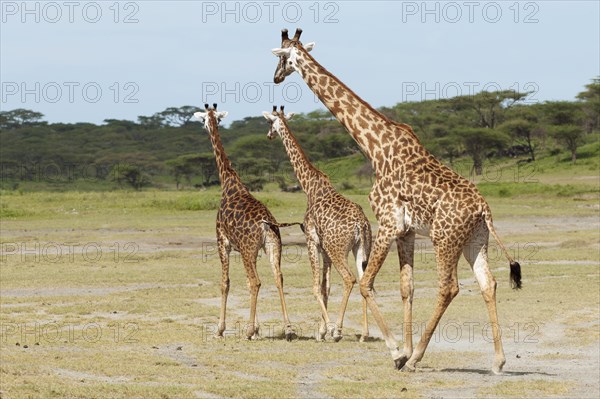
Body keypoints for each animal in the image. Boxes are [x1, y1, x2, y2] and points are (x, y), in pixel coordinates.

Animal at [192, 104, 296, 342]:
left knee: (257, 281)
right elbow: (247, 283)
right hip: (272, 246)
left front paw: (221, 329)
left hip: (250, 249)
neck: (228, 181)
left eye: (203, 120)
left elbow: (225, 283)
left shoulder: (223, 242)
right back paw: (288, 329)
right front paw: (257, 329)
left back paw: (247, 332)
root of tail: (266, 222)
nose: (204, 126)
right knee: (277, 277)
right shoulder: (245, 249)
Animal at [262, 106, 370, 344]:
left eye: (269, 123)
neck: (309, 186)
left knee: (349, 279)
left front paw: (327, 330)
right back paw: (364, 334)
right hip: (361, 248)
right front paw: (322, 331)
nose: (269, 136)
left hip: (337, 248)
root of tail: (360, 224)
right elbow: (325, 286)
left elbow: (315, 287)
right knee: (364, 279)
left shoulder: (312, 240)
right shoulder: (324, 247)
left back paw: (338, 331)